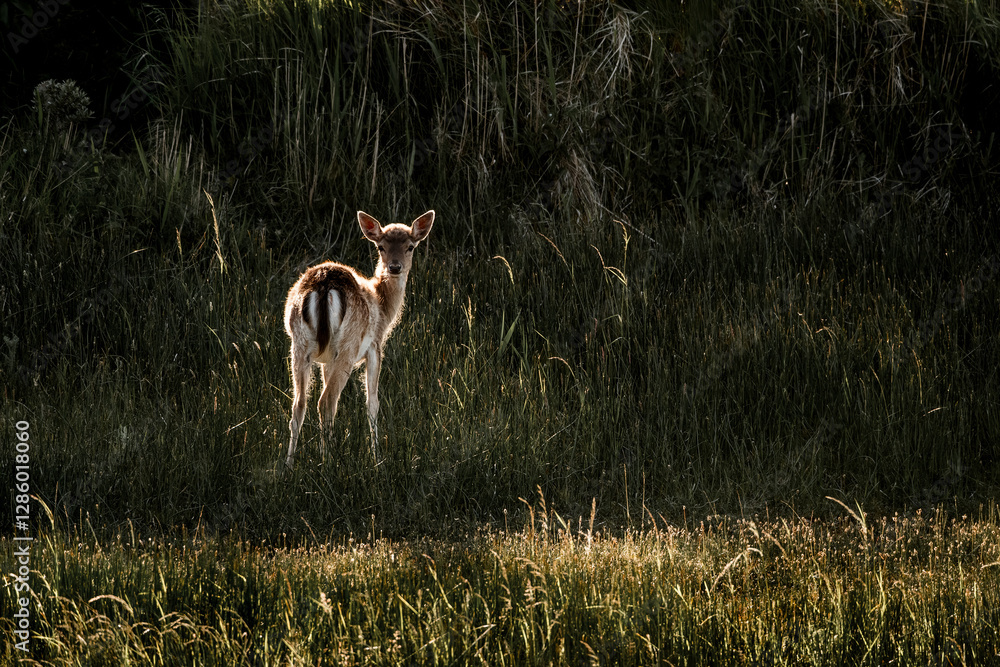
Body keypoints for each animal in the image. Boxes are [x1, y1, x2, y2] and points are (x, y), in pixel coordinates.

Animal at [283, 210, 435, 468]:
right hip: (349, 344)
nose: (395, 267)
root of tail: (323, 286)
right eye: (381, 247)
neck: (384, 308)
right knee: (326, 401)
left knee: (299, 404)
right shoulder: (375, 347)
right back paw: (328, 464)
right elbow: (372, 403)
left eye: (410, 246)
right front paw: (377, 458)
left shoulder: (326, 360)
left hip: (299, 344)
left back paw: (288, 466)